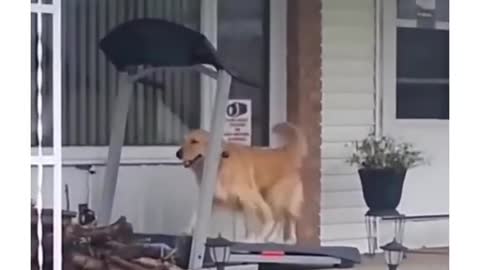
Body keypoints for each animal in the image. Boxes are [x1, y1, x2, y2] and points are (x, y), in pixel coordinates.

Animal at [177, 122, 308, 243]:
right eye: (184, 140)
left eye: (194, 141)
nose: (177, 154)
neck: (219, 163)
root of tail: (284, 152)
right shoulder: (213, 196)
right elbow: (195, 213)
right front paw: (187, 230)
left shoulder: (249, 196)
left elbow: (259, 219)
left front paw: (253, 238)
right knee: (282, 218)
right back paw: (274, 238)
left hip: (275, 196)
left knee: (287, 217)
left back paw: (288, 239)